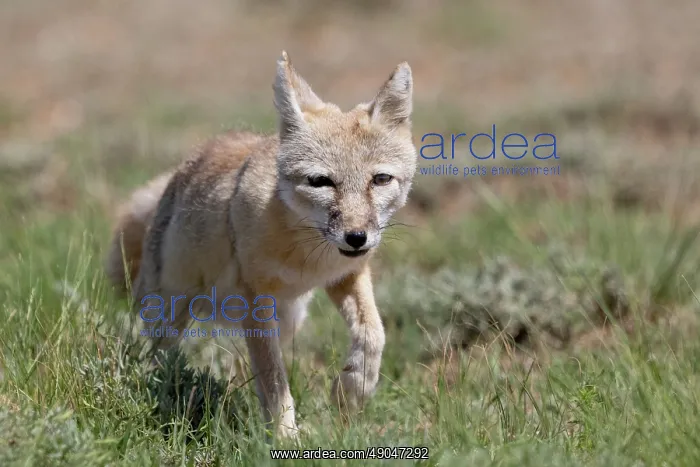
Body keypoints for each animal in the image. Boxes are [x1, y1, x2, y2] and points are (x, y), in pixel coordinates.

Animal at [105, 51, 418, 438]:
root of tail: (182, 169)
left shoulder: (347, 275)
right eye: (321, 182)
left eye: (380, 179)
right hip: (169, 311)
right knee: (154, 352)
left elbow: (373, 334)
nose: (357, 237)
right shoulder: (256, 298)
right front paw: (286, 436)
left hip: (288, 321)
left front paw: (353, 390)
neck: (307, 258)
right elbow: (274, 380)